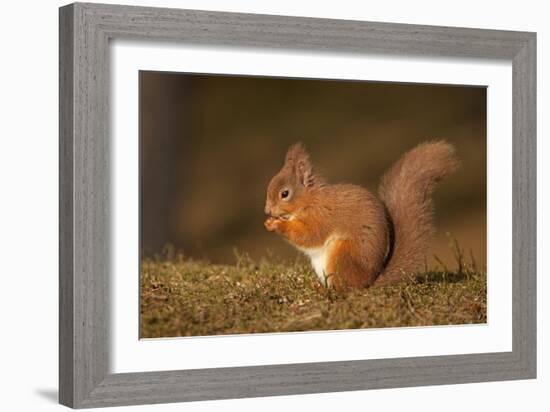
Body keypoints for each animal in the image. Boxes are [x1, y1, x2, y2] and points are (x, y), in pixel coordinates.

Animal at [266, 142, 460, 290]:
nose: (267, 211)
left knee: (345, 289)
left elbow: (309, 236)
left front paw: (276, 225)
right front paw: (269, 221)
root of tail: (369, 282)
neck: (309, 200)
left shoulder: (322, 216)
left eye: (284, 194)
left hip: (342, 255)